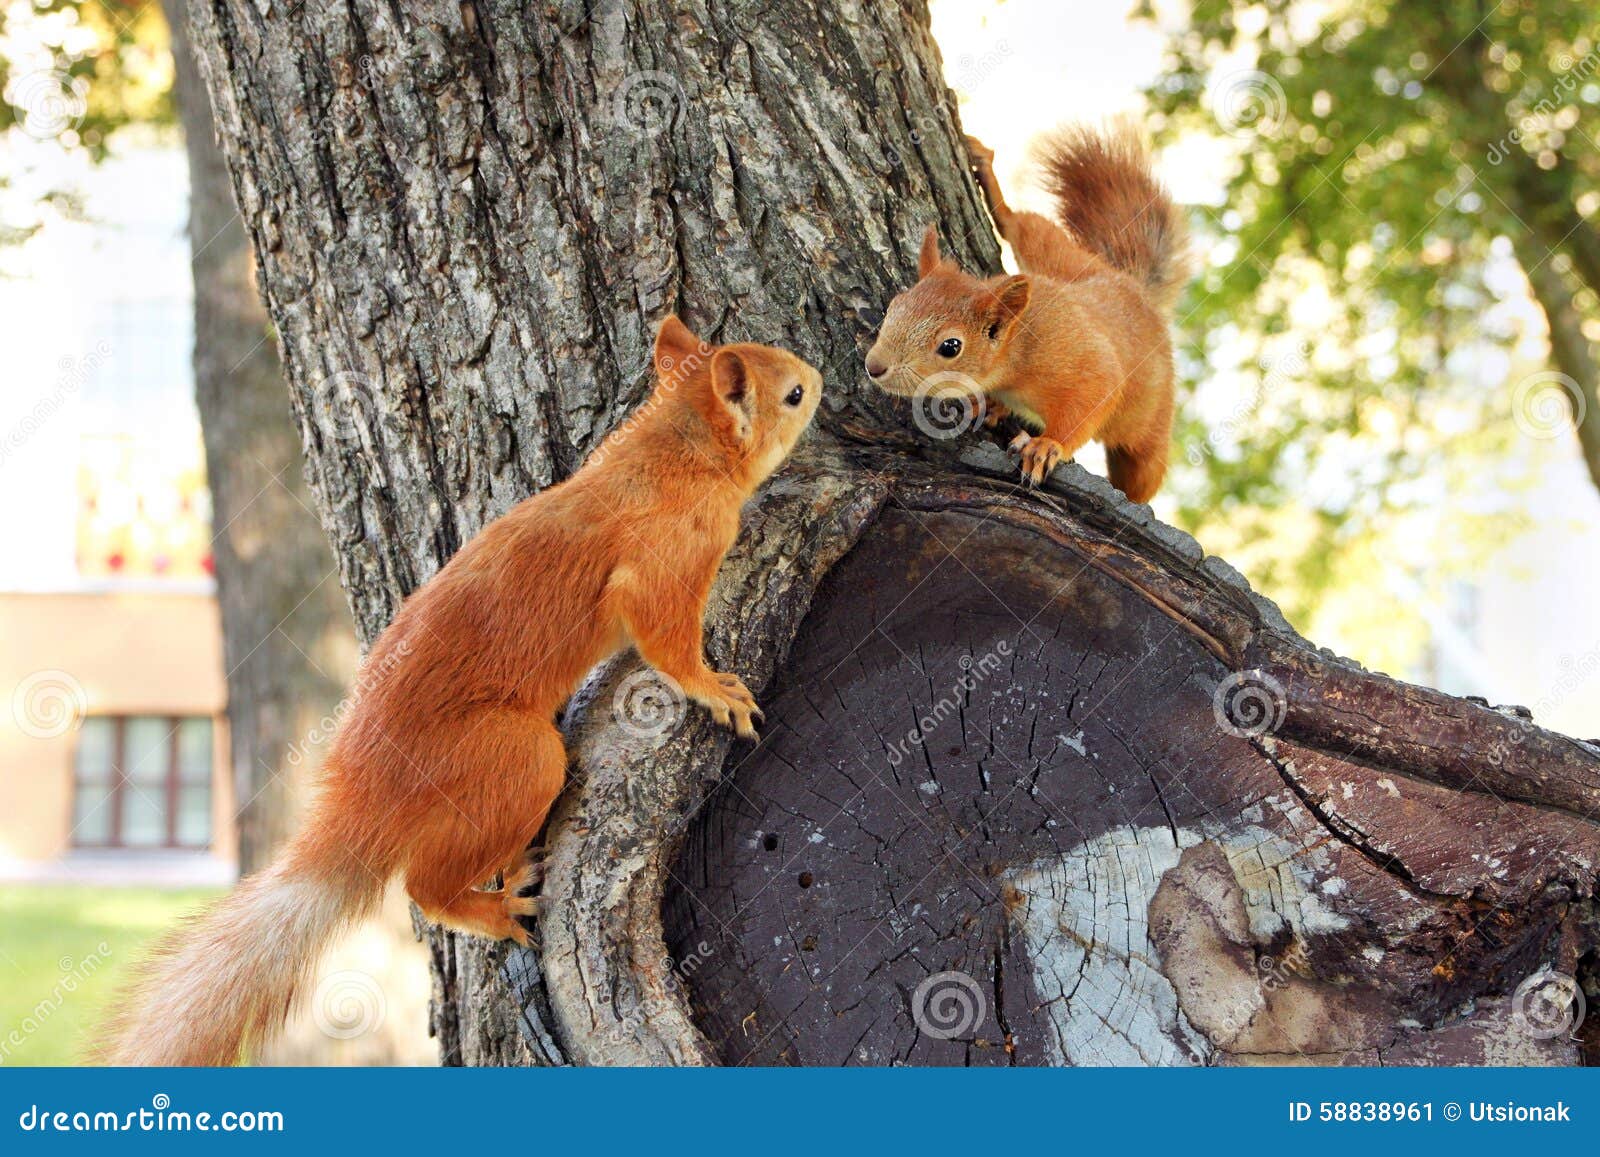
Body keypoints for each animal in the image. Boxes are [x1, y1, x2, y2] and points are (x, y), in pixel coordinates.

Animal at [102, 315, 822, 1066]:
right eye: (793, 394)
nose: (823, 377)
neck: (675, 454)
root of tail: (367, 793)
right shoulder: (661, 565)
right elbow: (667, 642)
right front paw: (715, 688)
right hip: (514, 757)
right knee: (424, 887)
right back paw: (493, 908)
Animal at [864, 124, 1191, 501]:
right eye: (894, 306)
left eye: (950, 347)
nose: (874, 366)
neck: (1018, 347)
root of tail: (1134, 290)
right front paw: (982, 401)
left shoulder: (1082, 362)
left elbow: (1092, 398)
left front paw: (1046, 446)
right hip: (1057, 256)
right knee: (1020, 225)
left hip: (1150, 426)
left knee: (1144, 474)